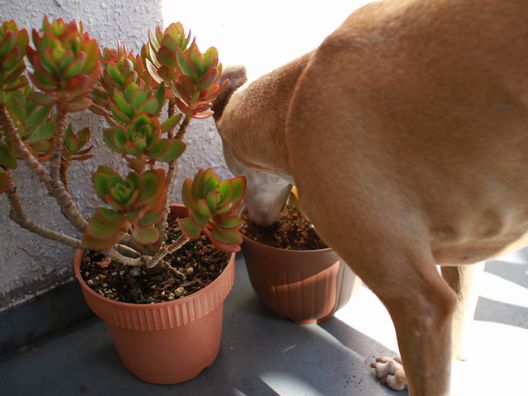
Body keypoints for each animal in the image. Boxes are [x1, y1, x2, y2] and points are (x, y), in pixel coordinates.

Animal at [211, 1, 528, 394]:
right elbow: (456, 332)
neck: (293, 102)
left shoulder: (419, 305)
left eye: (237, 172)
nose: (256, 224)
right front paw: (403, 372)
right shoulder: (464, 264)